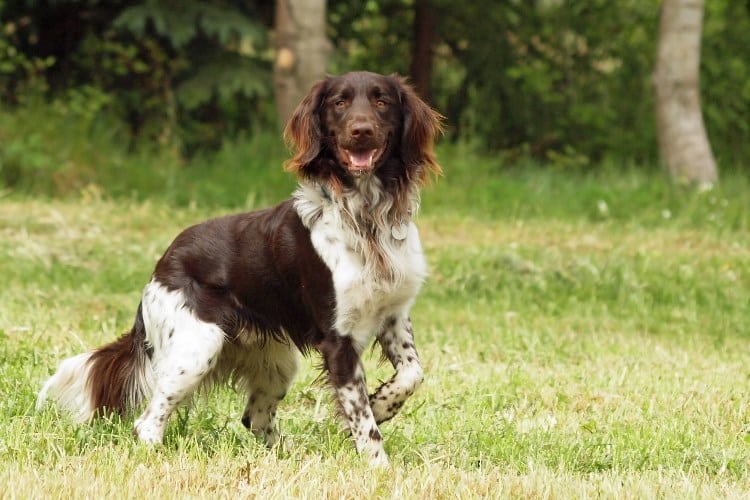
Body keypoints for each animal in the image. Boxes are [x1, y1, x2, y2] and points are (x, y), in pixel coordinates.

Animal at [38, 69, 444, 464]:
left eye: (381, 101)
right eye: (340, 102)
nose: (361, 131)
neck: (368, 218)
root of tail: (160, 266)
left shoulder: (393, 313)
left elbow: (413, 374)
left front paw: (382, 403)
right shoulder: (338, 339)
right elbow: (363, 422)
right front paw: (379, 467)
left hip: (277, 361)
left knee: (255, 418)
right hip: (197, 347)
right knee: (148, 421)